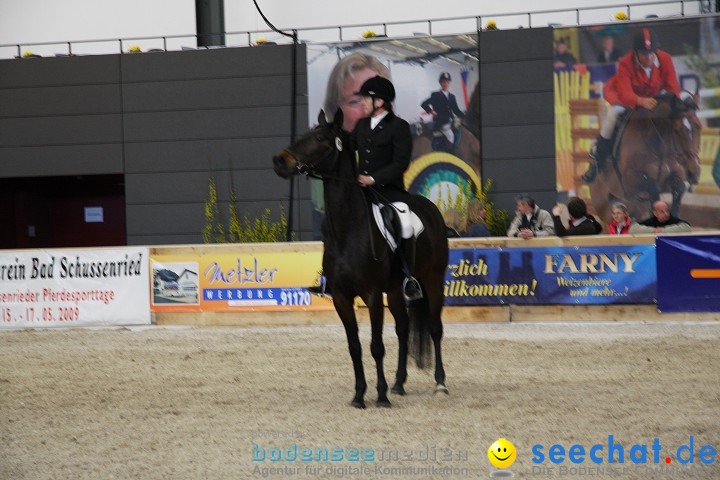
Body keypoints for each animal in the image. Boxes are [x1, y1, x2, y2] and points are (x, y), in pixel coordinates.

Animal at [272, 109, 450, 408]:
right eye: (304, 134)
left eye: (319, 138)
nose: (279, 161)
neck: (349, 229)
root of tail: (430, 208)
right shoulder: (342, 297)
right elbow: (354, 346)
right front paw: (359, 395)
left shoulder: (372, 294)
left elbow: (376, 346)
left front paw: (380, 396)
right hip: (396, 289)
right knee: (403, 329)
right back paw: (399, 384)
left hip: (432, 280)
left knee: (435, 328)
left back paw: (439, 384)